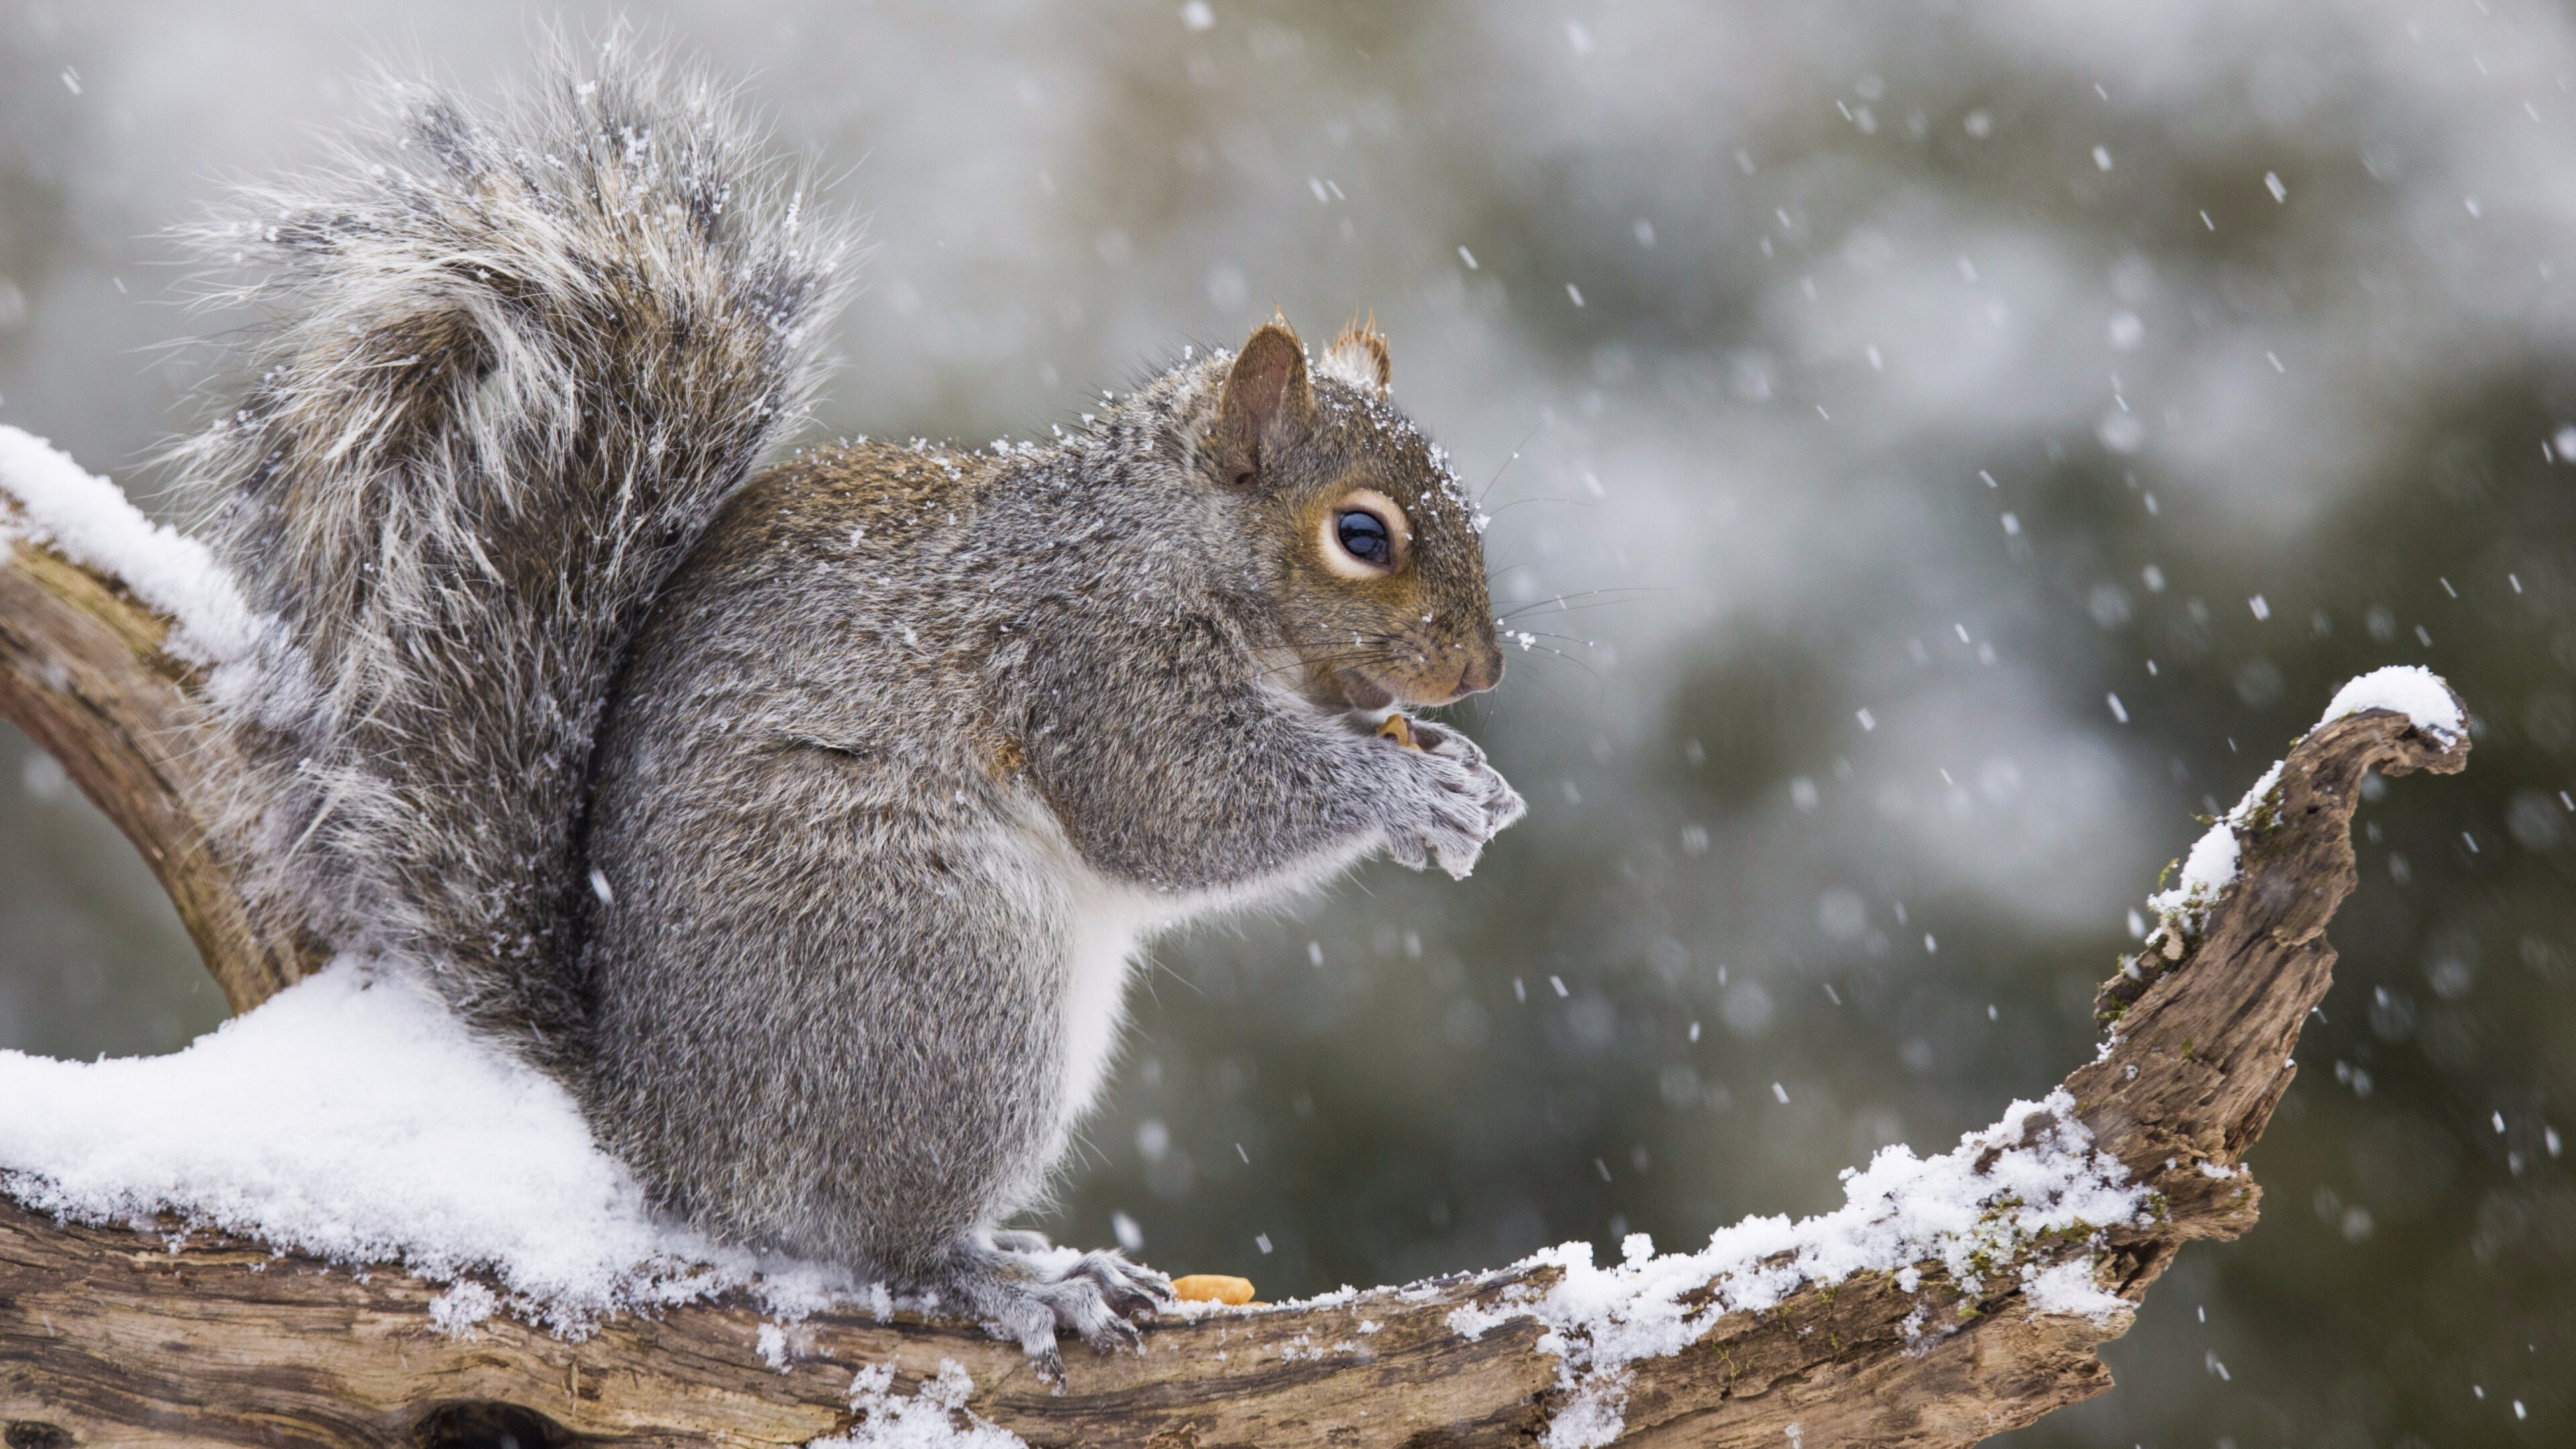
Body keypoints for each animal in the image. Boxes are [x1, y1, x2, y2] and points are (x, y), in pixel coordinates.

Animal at [181, 36, 1514, 1361]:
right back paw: (1017, 1282)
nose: (1484, 671)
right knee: (887, 1244)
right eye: (1361, 535)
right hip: (947, 980)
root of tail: (659, 1132)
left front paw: (1465, 773)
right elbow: (1182, 808)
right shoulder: (1093, 662)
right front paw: (1407, 790)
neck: (1165, 538)